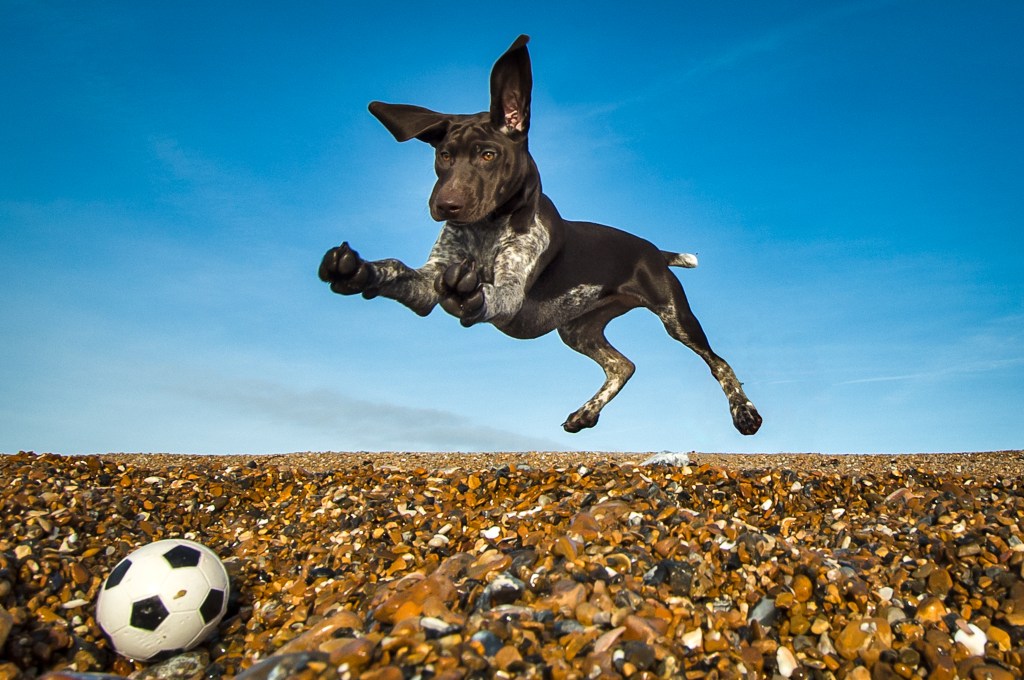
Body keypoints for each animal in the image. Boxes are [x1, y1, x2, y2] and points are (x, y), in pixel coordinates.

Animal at [319, 34, 761, 436]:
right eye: (444, 155)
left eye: (488, 155)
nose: (444, 205)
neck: (486, 229)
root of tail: (652, 249)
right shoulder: (431, 280)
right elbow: (397, 269)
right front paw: (359, 270)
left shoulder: (510, 291)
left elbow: (485, 292)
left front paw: (467, 292)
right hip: (577, 330)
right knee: (623, 365)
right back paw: (585, 413)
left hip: (675, 315)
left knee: (718, 363)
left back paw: (745, 413)